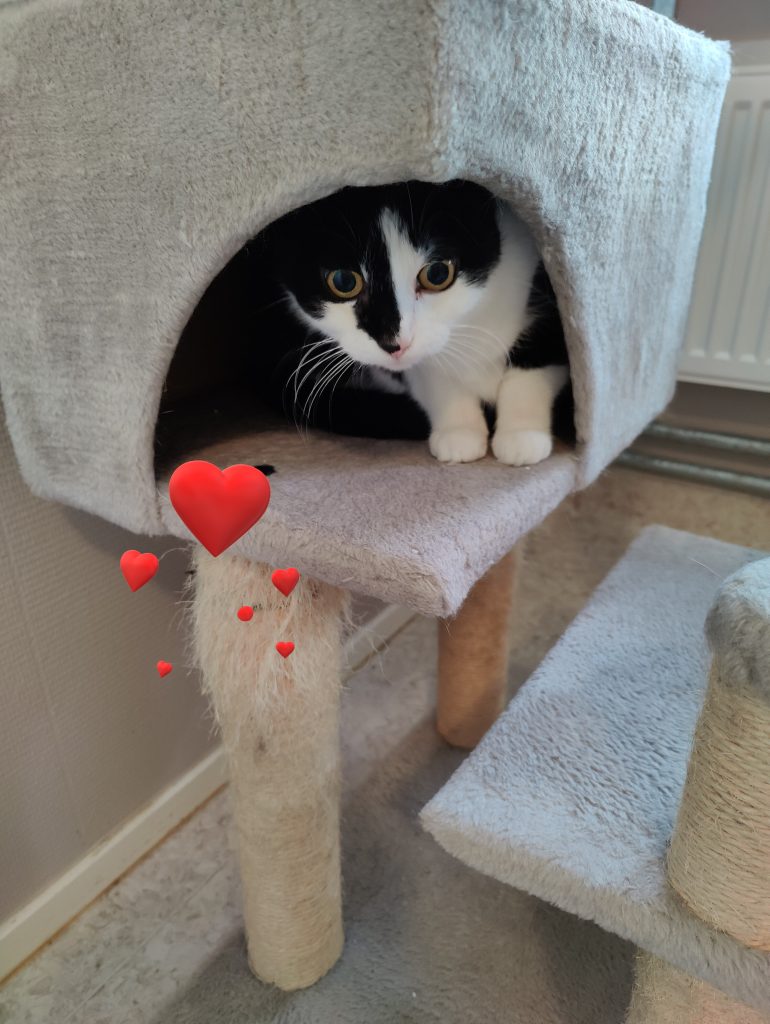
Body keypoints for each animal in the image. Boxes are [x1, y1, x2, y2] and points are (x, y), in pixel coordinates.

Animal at [241, 179, 572, 465]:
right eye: (343, 281)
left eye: (437, 274)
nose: (393, 343)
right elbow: (430, 373)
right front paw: (459, 430)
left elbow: (535, 364)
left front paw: (522, 433)